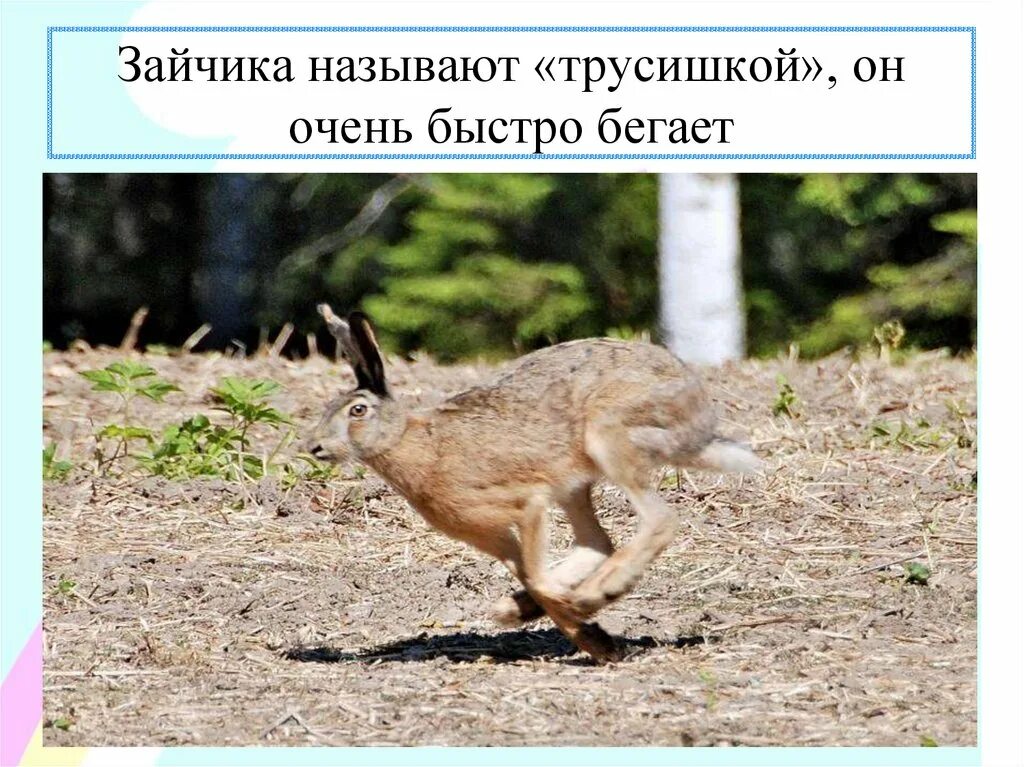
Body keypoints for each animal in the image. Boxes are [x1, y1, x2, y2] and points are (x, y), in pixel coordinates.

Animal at [306, 304, 761, 663]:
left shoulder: (526, 503)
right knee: (597, 542)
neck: (410, 440)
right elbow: (532, 577)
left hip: (608, 436)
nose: (314, 447)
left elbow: (539, 579)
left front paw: (584, 620)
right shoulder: (495, 535)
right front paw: (588, 638)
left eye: (357, 411)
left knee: (659, 520)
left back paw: (598, 592)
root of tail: (699, 417)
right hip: (575, 483)